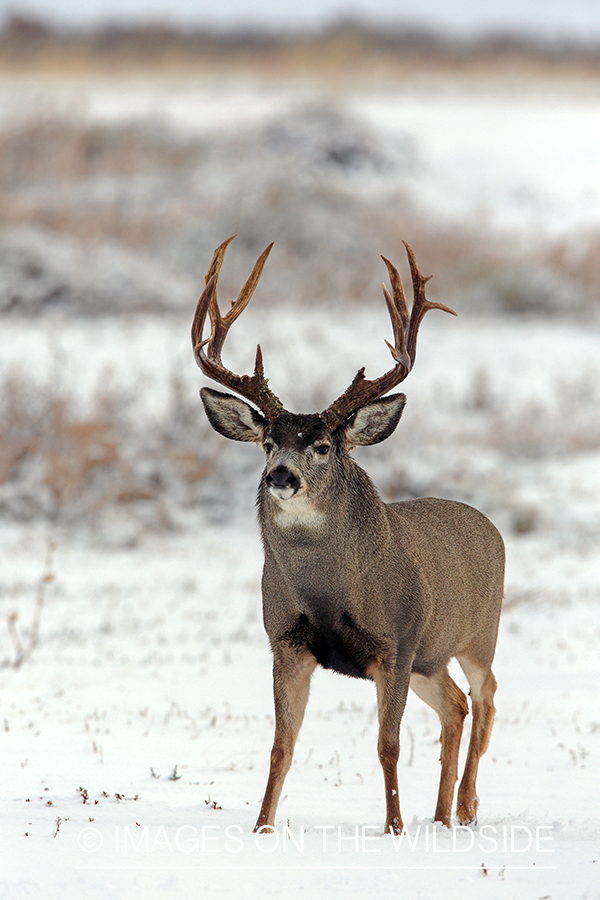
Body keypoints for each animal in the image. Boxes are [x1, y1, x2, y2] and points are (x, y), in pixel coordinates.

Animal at [191, 236, 502, 832]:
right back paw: (442, 816)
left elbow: (387, 745)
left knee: (486, 693)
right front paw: (261, 828)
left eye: (322, 446)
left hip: (477, 636)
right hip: (431, 658)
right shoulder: (285, 642)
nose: (280, 476)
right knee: (455, 705)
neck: (331, 593)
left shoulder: (397, 642)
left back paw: (468, 807)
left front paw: (393, 829)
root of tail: (488, 523)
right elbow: (281, 746)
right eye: (268, 442)